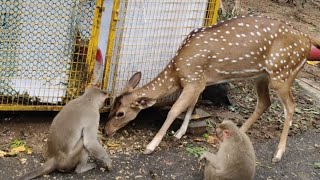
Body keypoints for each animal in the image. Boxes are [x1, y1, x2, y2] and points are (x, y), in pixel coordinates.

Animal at [105, 15, 320, 162]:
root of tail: (307, 39)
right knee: (264, 102)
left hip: (282, 73)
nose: (106, 131)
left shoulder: (193, 79)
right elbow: (191, 106)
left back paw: (278, 153)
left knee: (290, 106)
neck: (177, 71)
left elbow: (174, 110)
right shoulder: (200, 81)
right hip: (262, 76)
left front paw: (151, 146)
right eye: (111, 106)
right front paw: (179, 133)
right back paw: (238, 133)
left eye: (120, 113)